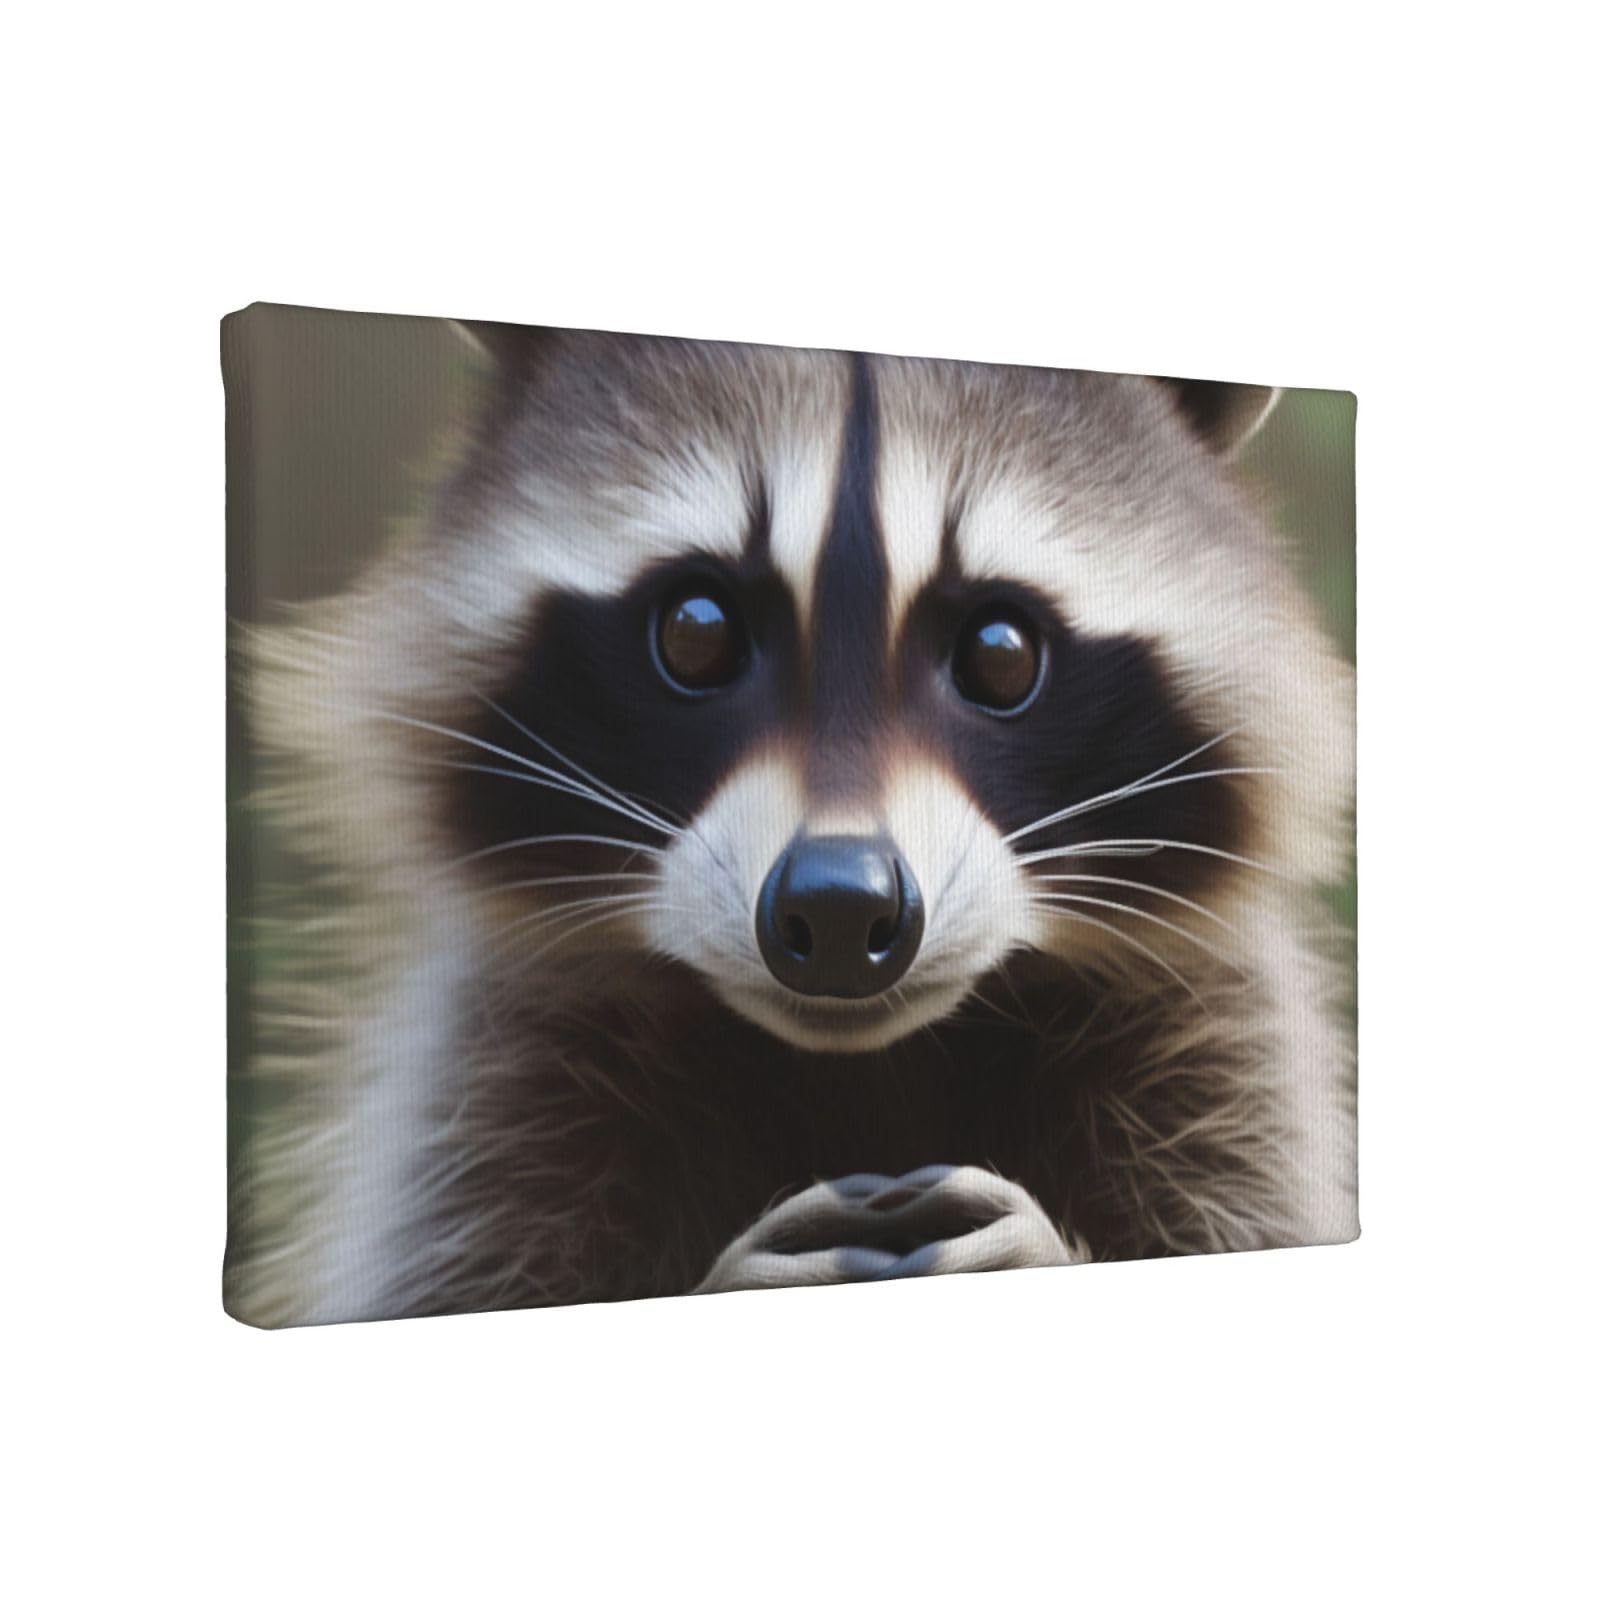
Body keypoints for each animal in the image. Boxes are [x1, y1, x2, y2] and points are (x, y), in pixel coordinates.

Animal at [226, 317, 1355, 1326]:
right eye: (697, 633)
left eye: (1000, 652)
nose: (842, 909)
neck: (868, 1064)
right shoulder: (489, 1076)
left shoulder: (1218, 1044)